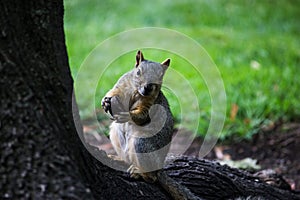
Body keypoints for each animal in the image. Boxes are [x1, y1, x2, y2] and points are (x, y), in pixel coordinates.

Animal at [102, 50, 200, 199]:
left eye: (160, 75)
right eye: (138, 72)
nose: (148, 87)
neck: (136, 91)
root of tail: (159, 168)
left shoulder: (150, 104)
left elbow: (142, 116)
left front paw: (128, 115)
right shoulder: (121, 85)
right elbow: (114, 92)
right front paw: (105, 101)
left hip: (141, 144)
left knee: (152, 178)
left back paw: (139, 173)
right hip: (115, 134)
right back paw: (117, 159)